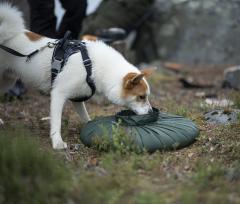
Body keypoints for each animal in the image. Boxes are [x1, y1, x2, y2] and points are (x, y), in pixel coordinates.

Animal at [0, 3, 154, 149]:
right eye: (141, 97)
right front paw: (57, 142)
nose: (151, 112)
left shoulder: (78, 98)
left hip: (7, 81)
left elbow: (85, 116)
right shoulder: (58, 94)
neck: (91, 65)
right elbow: (57, 122)